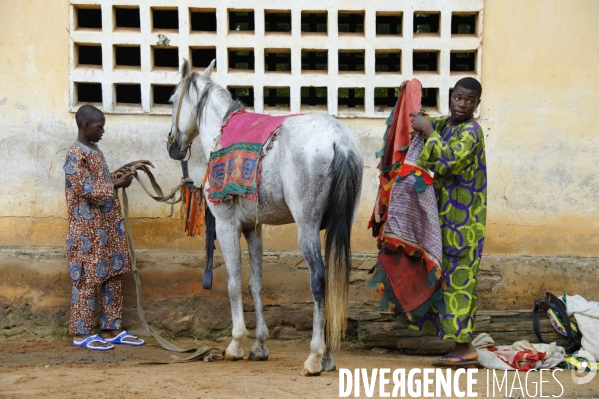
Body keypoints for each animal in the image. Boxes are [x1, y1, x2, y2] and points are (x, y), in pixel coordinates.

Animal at [168, 61, 366, 376]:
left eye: (172, 100)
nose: (173, 146)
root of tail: (340, 141)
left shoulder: (226, 224)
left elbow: (234, 282)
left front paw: (236, 344)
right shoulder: (253, 228)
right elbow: (256, 283)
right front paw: (259, 345)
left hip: (307, 228)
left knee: (319, 280)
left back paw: (315, 357)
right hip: (338, 226)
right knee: (334, 281)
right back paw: (328, 357)